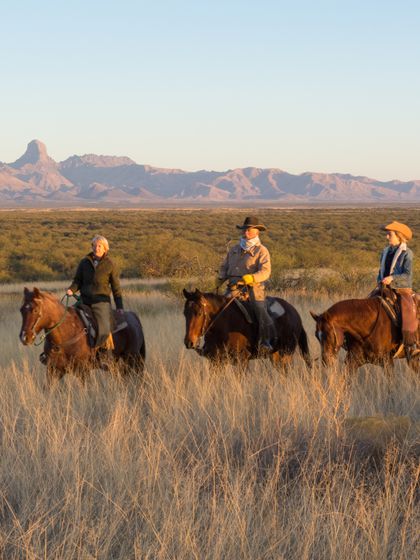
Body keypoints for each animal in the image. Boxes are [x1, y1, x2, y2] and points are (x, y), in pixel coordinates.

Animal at [182, 288, 310, 368]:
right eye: (184, 313)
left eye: (199, 313)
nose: (189, 342)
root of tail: (295, 313)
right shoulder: (216, 361)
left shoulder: (241, 361)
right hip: (276, 355)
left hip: (286, 354)